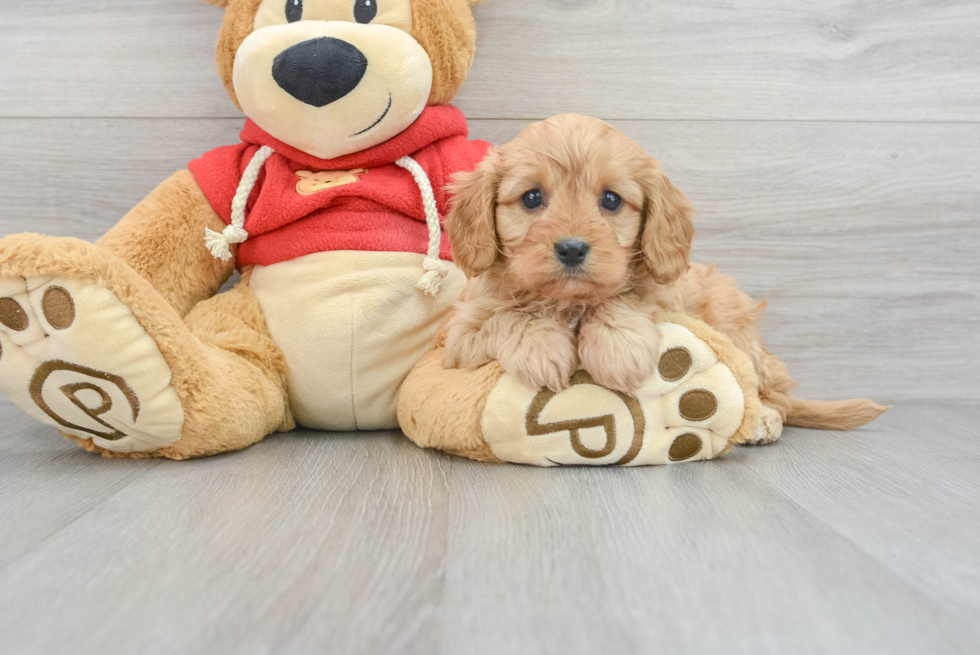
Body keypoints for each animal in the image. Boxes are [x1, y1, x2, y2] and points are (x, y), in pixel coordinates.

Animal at [444, 115, 888, 444]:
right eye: (532, 198)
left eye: (611, 200)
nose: (571, 249)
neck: (569, 302)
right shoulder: (462, 337)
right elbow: (510, 315)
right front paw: (539, 347)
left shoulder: (667, 304)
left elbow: (623, 298)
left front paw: (617, 349)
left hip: (735, 327)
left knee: (773, 388)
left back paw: (764, 419)